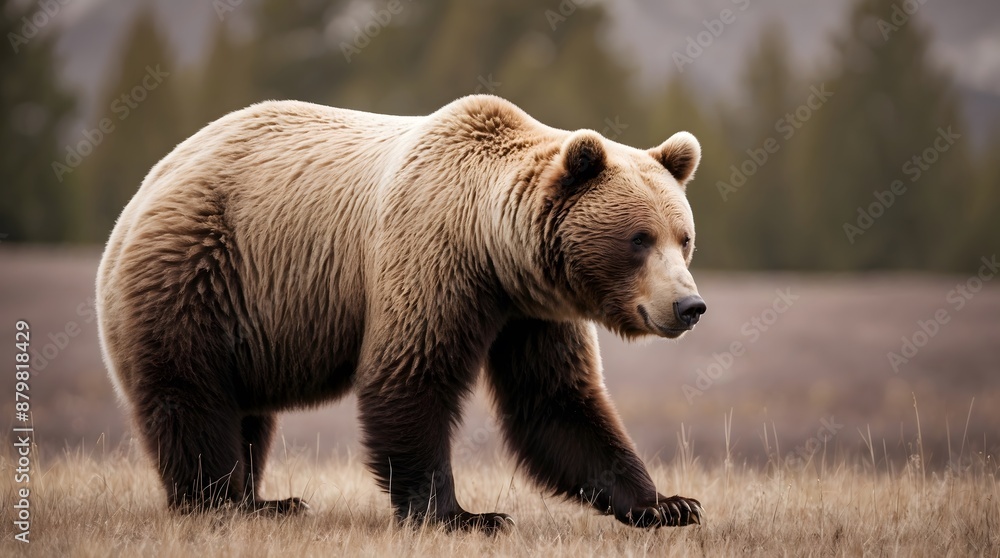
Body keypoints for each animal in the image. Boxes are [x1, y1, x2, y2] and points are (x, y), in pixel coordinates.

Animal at [96, 94, 707, 532]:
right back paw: (221, 501)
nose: (690, 305)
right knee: (191, 395)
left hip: (250, 313)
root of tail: (148, 184)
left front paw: (667, 503)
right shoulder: (430, 259)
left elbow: (557, 401)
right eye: (639, 239)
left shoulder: (532, 313)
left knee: (249, 411)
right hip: (199, 270)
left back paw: (268, 501)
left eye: (684, 238)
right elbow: (411, 380)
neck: (492, 251)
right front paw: (465, 515)